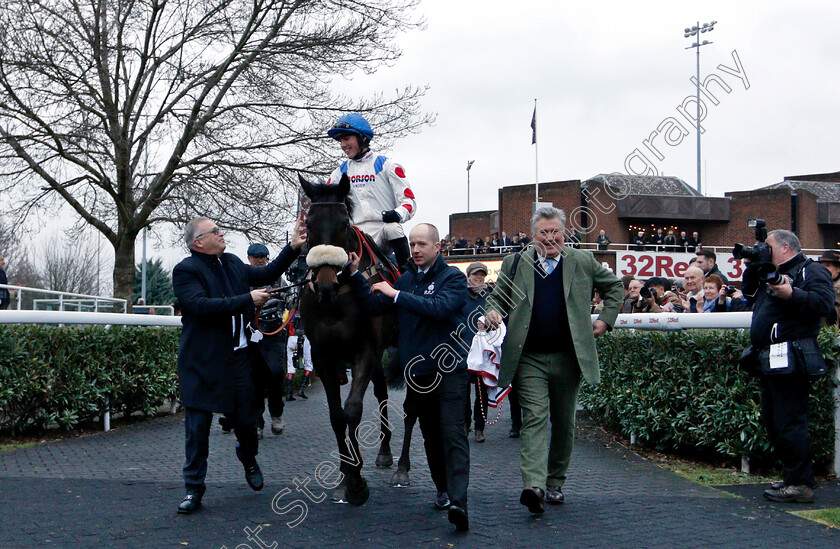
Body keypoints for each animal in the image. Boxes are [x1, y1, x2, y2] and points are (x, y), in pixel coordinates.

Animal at [296, 174, 398, 506]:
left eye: (343, 222)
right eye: (309, 223)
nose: (326, 284)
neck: (337, 300)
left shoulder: (364, 350)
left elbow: (353, 409)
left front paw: (356, 482)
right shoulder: (322, 355)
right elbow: (336, 415)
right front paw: (345, 472)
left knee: (381, 395)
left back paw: (384, 453)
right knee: (380, 392)